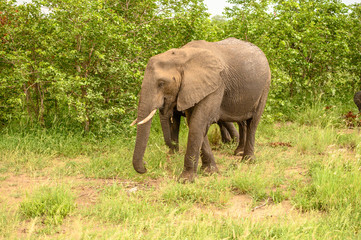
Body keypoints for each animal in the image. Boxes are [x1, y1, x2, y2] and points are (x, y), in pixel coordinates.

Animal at [131, 37, 268, 181]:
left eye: (161, 83)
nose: (146, 165)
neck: (182, 56)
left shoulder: (216, 84)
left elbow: (199, 122)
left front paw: (185, 180)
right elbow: (193, 122)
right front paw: (209, 172)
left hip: (265, 85)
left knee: (253, 122)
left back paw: (247, 160)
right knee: (243, 122)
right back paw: (239, 153)